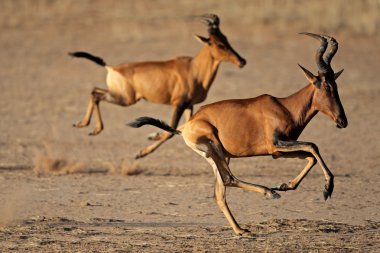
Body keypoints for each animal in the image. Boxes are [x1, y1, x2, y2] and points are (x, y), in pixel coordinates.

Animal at [69, 13, 245, 151]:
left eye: (226, 39)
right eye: (219, 44)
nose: (242, 61)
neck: (193, 68)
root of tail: (111, 67)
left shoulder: (189, 105)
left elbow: (177, 128)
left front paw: (151, 136)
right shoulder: (178, 104)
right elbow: (169, 132)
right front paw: (141, 152)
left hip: (119, 95)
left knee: (94, 90)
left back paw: (84, 125)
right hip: (125, 99)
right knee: (96, 94)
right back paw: (90, 128)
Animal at [130, 33, 348, 235]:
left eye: (336, 86)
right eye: (326, 86)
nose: (342, 121)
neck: (284, 106)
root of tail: (186, 126)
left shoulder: (278, 152)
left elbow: (311, 156)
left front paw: (285, 185)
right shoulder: (277, 143)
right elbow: (313, 146)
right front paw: (326, 190)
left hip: (217, 155)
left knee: (219, 193)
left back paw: (240, 229)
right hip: (213, 148)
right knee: (228, 179)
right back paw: (268, 194)